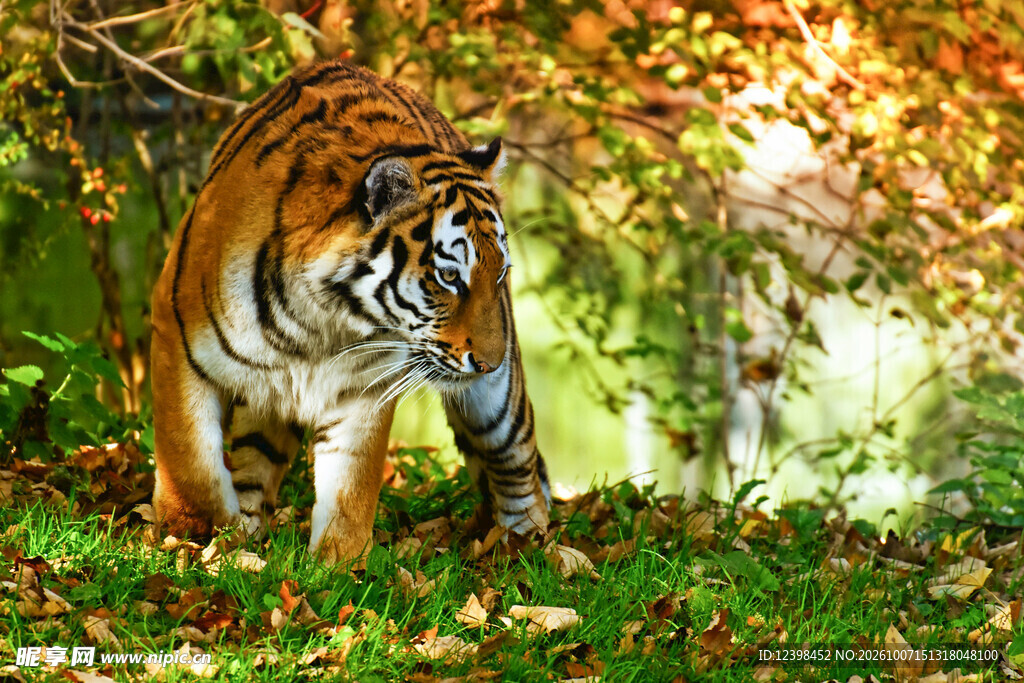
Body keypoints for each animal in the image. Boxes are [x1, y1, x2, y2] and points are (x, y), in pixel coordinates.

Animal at [150, 60, 550, 563]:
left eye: (498, 274)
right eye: (449, 276)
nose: (489, 362)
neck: (320, 319)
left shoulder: (366, 386)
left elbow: (350, 487)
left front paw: (338, 566)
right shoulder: (176, 337)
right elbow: (189, 462)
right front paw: (194, 535)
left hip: (498, 406)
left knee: (520, 466)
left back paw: (532, 550)